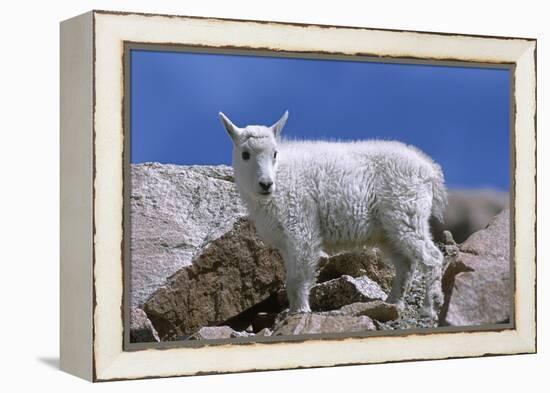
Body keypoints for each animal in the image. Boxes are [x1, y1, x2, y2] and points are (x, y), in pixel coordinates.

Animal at [220, 111, 448, 318]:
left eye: (274, 153)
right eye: (245, 154)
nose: (266, 184)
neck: (281, 176)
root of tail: (430, 170)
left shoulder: (300, 225)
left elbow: (298, 277)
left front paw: (300, 311)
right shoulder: (284, 241)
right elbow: (290, 277)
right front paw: (293, 311)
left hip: (406, 211)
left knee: (432, 257)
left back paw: (429, 307)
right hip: (389, 230)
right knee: (405, 264)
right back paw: (393, 302)